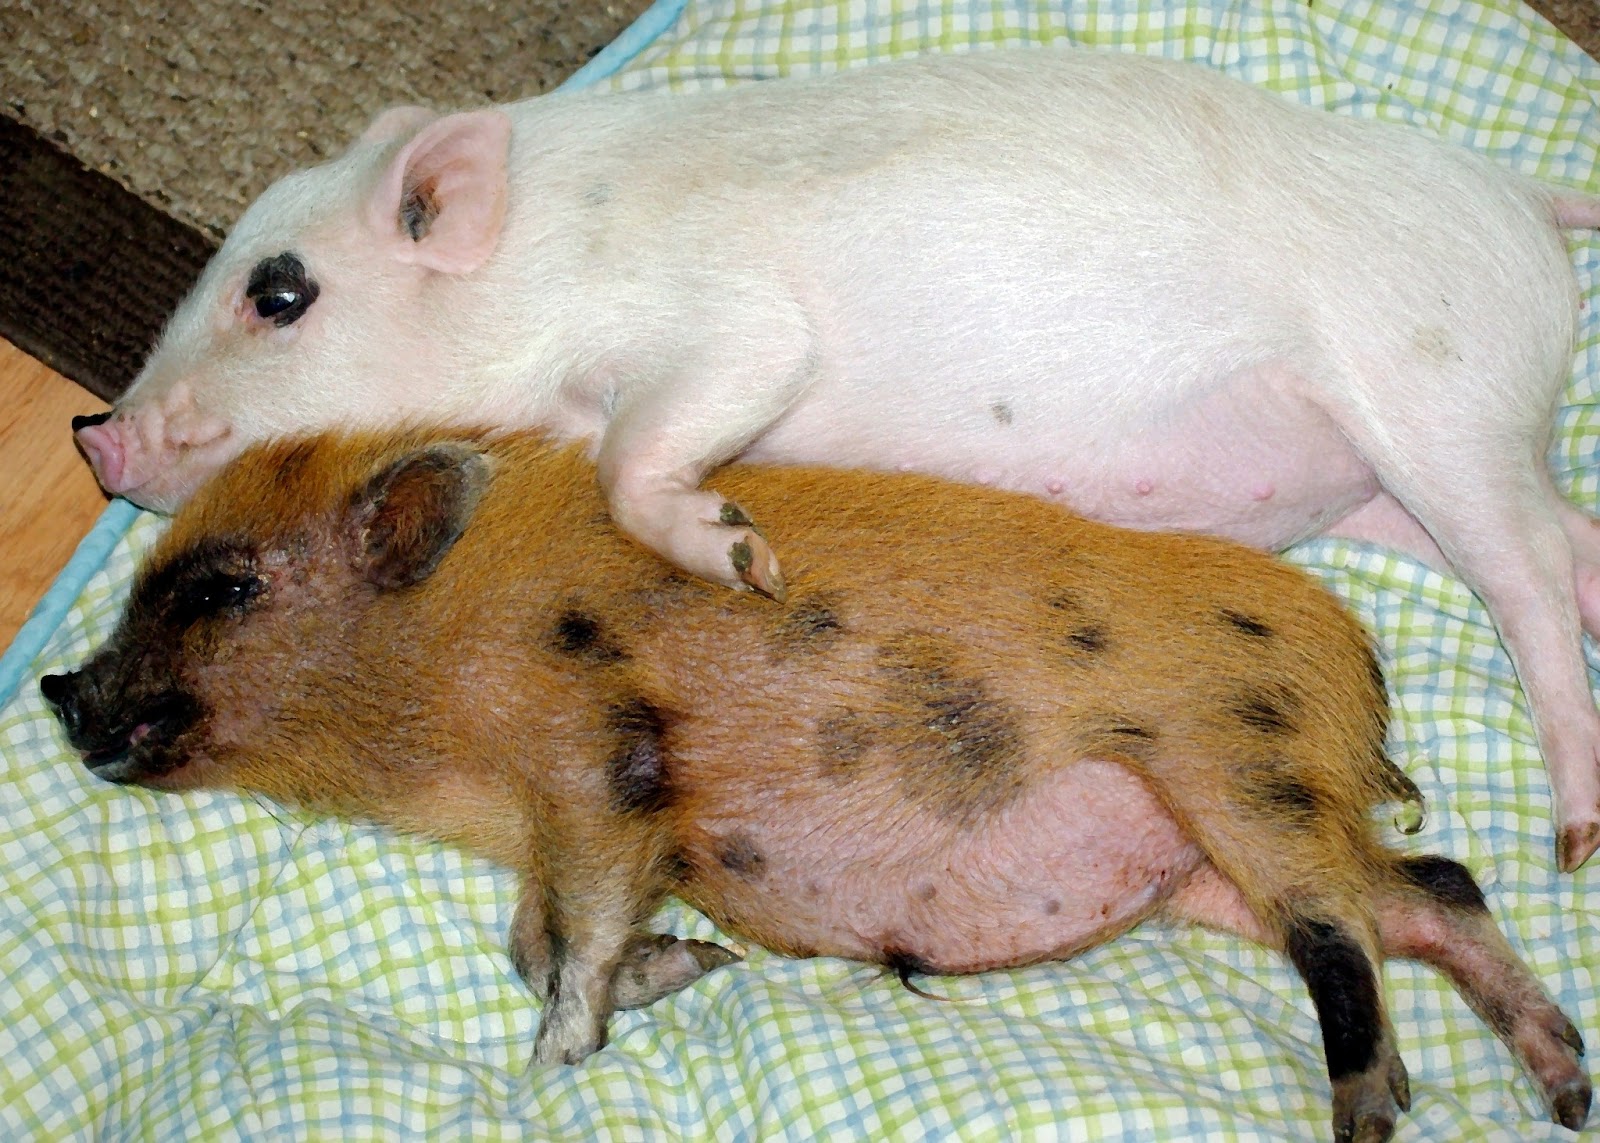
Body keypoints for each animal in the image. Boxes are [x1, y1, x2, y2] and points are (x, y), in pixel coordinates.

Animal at [43, 427, 1592, 1143]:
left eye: (221, 587)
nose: (60, 690)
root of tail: (1352, 663)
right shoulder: (577, 830)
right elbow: (532, 934)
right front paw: (695, 968)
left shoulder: (603, 760)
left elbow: (563, 946)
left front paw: (548, 1068)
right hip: (1205, 863)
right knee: (1435, 886)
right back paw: (1562, 1086)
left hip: (1238, 760)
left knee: (1341, 930)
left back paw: (1370, 1109)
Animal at [70, 49, 1600, 870]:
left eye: (280, 292)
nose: (96, 433)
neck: (547, 273)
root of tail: (1526, 201)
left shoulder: (733, 332)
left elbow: (653, 439)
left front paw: (744, 553)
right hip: (1396, 485)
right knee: (1574, 546)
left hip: (1440, 396)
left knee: (1533, 586)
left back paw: (1573, 833)